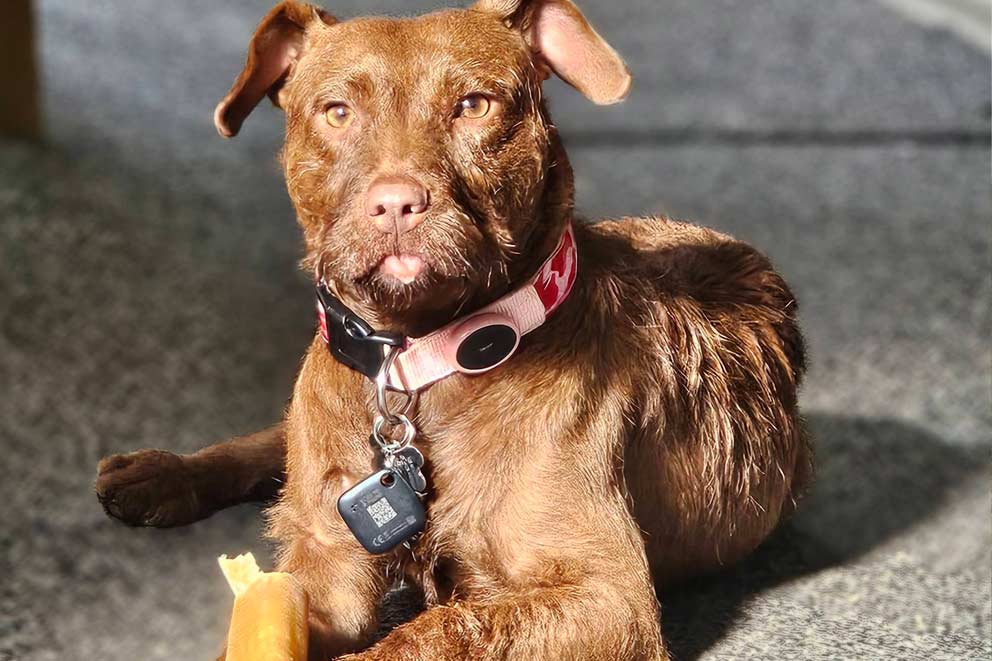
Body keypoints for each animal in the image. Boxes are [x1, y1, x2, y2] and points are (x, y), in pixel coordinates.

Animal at [93, 2, 808, 656]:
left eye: (473, 105)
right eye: (336, 113)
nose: (396, 202)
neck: (418, 362)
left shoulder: (609, 599)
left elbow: (433, 633)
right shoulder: (326, 570)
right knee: (276, 446)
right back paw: (160, 473)